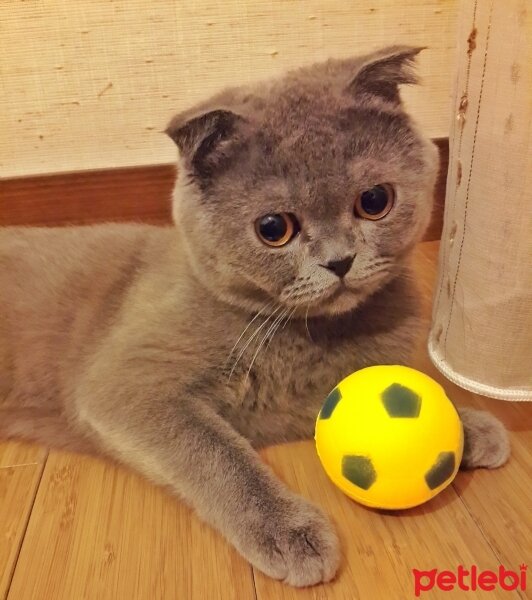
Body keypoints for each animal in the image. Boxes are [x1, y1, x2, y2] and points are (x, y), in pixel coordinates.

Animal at [0, 47, 510, 584]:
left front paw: (467, 425)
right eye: (273, 228)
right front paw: (290, 532)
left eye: (374, 201)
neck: (302, 333)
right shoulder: (126, 382)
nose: (340, 261)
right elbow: (215, 450)